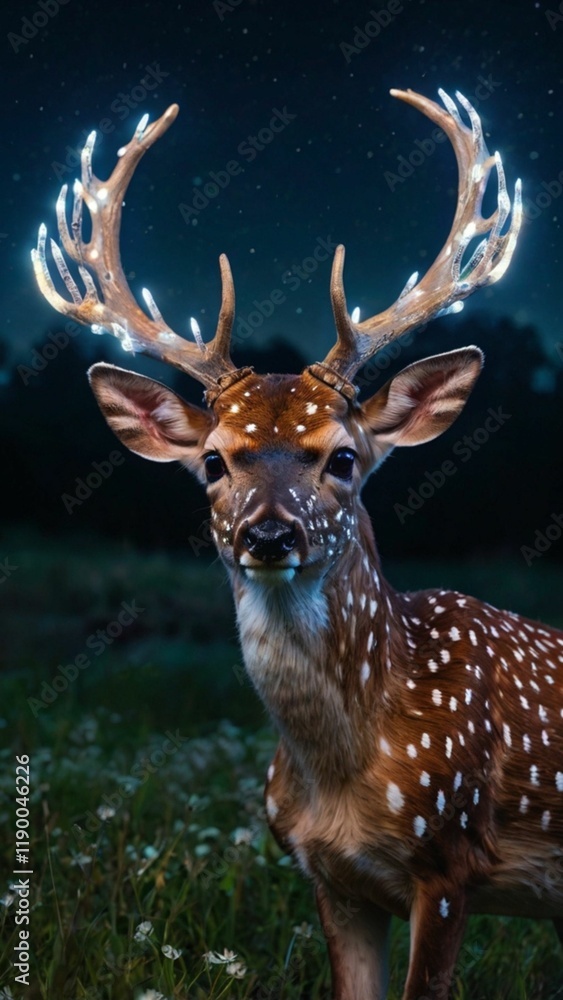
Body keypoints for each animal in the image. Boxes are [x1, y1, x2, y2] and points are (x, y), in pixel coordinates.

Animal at [31, 88, 563, 999]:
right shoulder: (329, 877)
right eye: (213, 461)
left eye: (342, 457)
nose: (269, 533)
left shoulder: (449, 858)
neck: (341, 774)